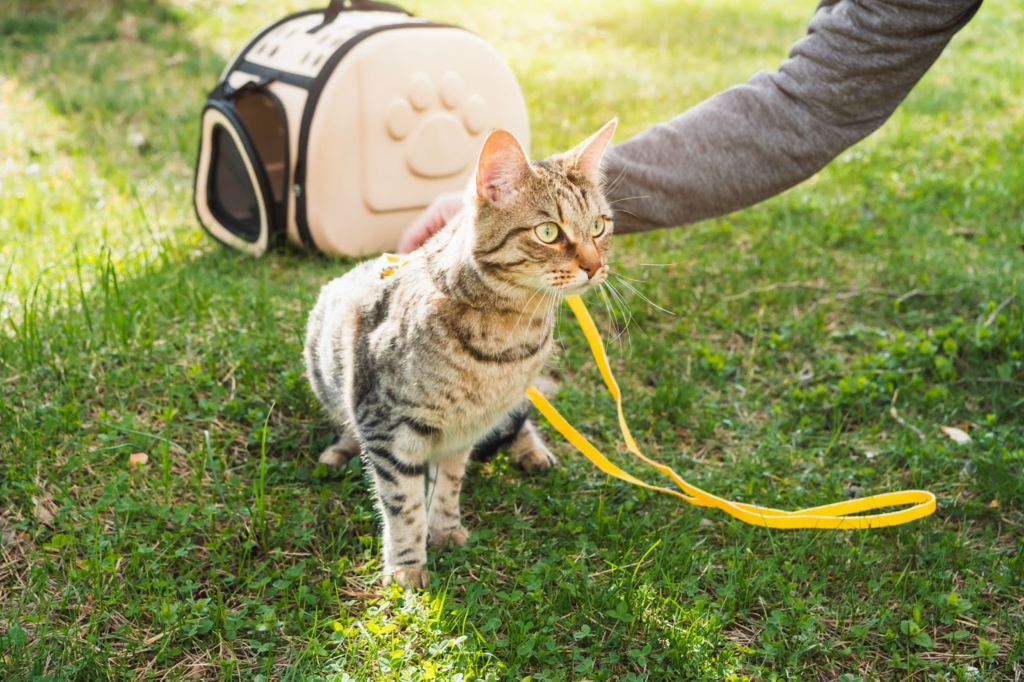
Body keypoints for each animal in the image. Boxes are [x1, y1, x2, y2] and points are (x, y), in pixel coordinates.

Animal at [303, 119, 614, 585]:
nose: (595, 267)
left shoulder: (465, 430)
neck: (505, 344)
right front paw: (407, 566)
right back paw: (340, 447)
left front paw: (445, 528)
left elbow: (449, 485)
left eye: (598, 226)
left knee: (519, 421)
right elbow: (403, 505)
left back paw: (532, 451)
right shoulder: (387, 426)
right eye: (548, 232)